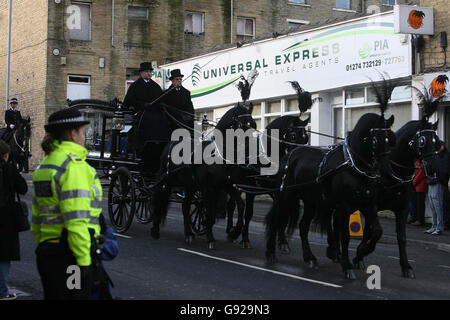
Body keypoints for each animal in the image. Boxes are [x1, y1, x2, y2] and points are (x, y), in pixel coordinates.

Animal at [266, 112, 396, 278]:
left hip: (310, 201)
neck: (354, 165)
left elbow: (377, 231)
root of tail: (289, 155)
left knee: (303, 226)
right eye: (374, 140)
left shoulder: (368, 204)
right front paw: (346, 265)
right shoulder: (344, 207)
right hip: (285, 196)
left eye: (390, 139)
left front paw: (361, 252)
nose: (387, 171)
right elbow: (345, 236)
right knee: (276, 220)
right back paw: (270, 252)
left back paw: (309, 257)